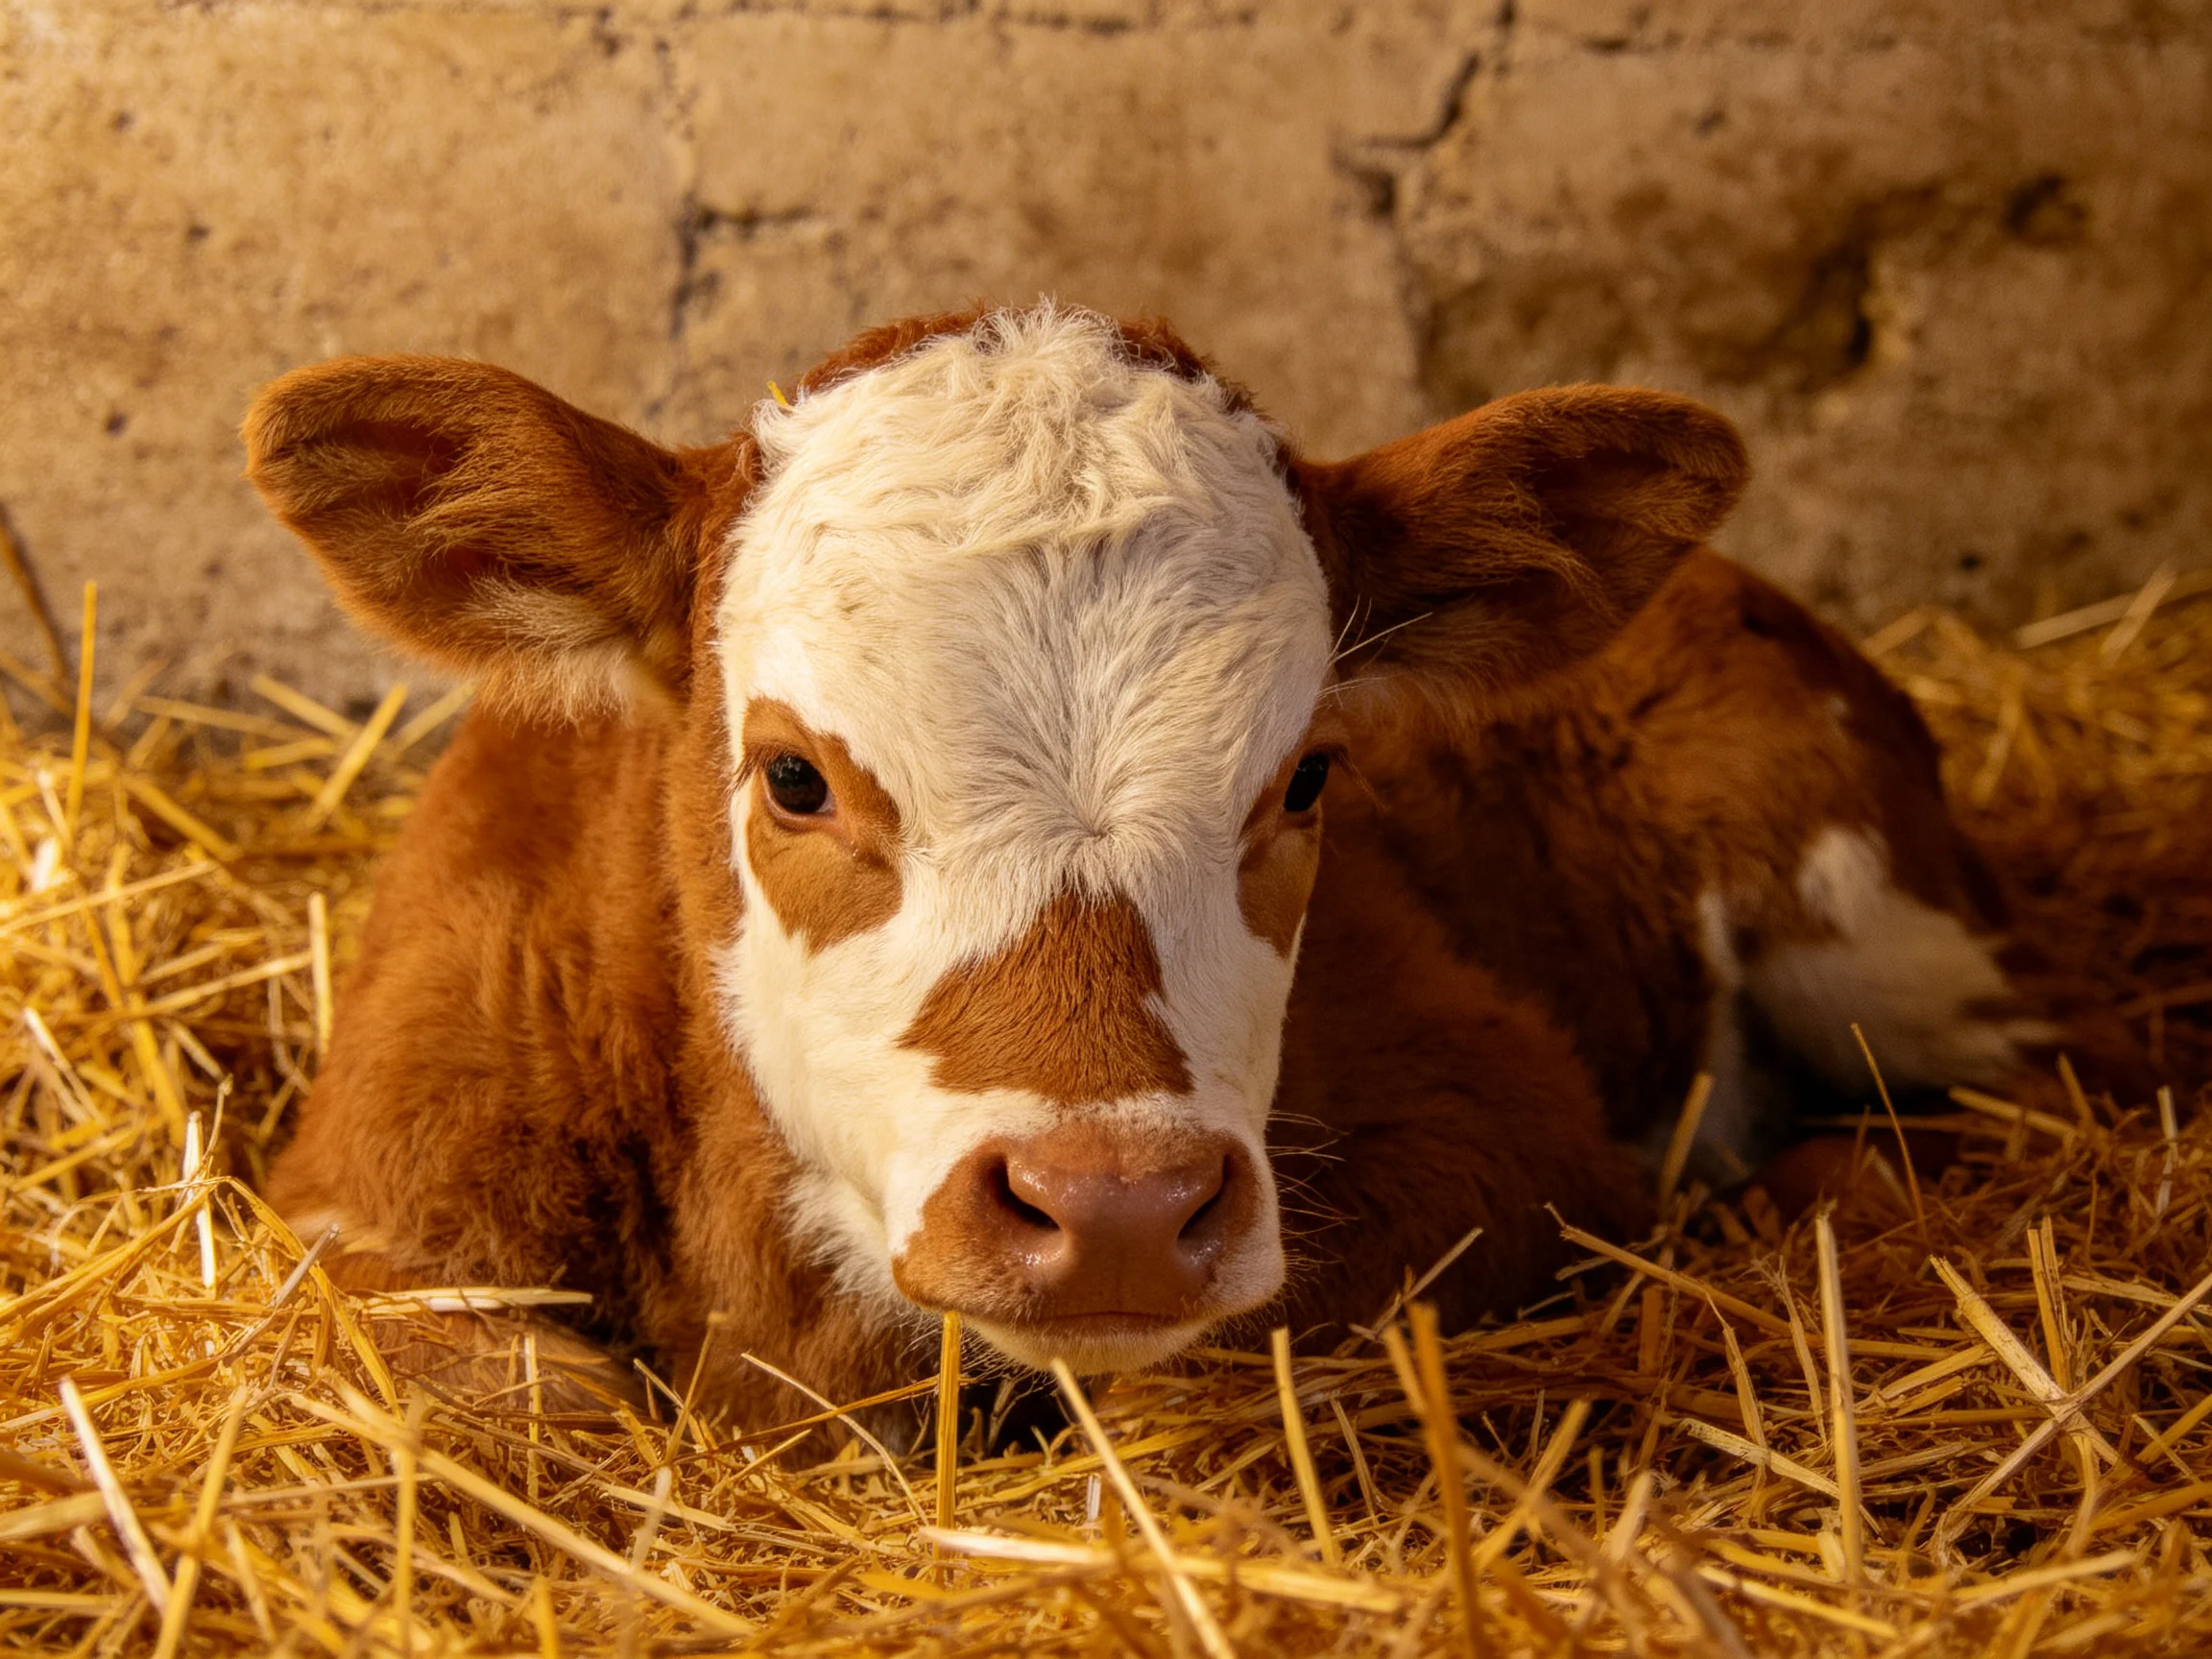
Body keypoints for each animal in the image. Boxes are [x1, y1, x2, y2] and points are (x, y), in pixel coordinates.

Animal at [243, 303, 2048, 1421]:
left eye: (1308, 772)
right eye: (794, 778)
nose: (1114, 1207)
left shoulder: (1505, 1123)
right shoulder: (372, 1200)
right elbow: (511, 1404)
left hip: (1881, 933)